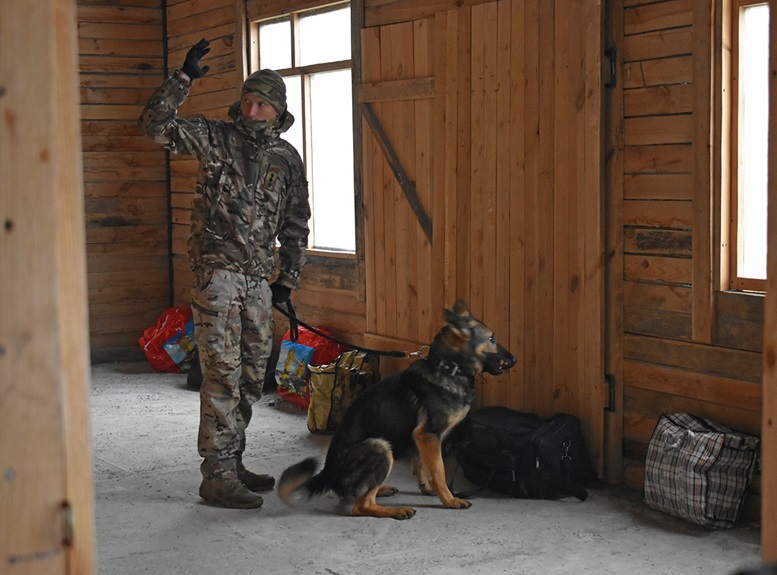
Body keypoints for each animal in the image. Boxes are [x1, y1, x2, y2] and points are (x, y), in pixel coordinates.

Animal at [277, 300, 516, 519]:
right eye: (492, 339)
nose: (514, 359)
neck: (448, 368)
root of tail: (328, 474)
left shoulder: (422, 440)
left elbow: (423, 466)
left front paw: (428, 489)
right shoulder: (428, 435)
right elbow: (439, 471)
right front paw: (449, 499)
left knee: (361, 493)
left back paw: (382, 490)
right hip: (381, 447)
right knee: (361, 506)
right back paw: (397, 510)